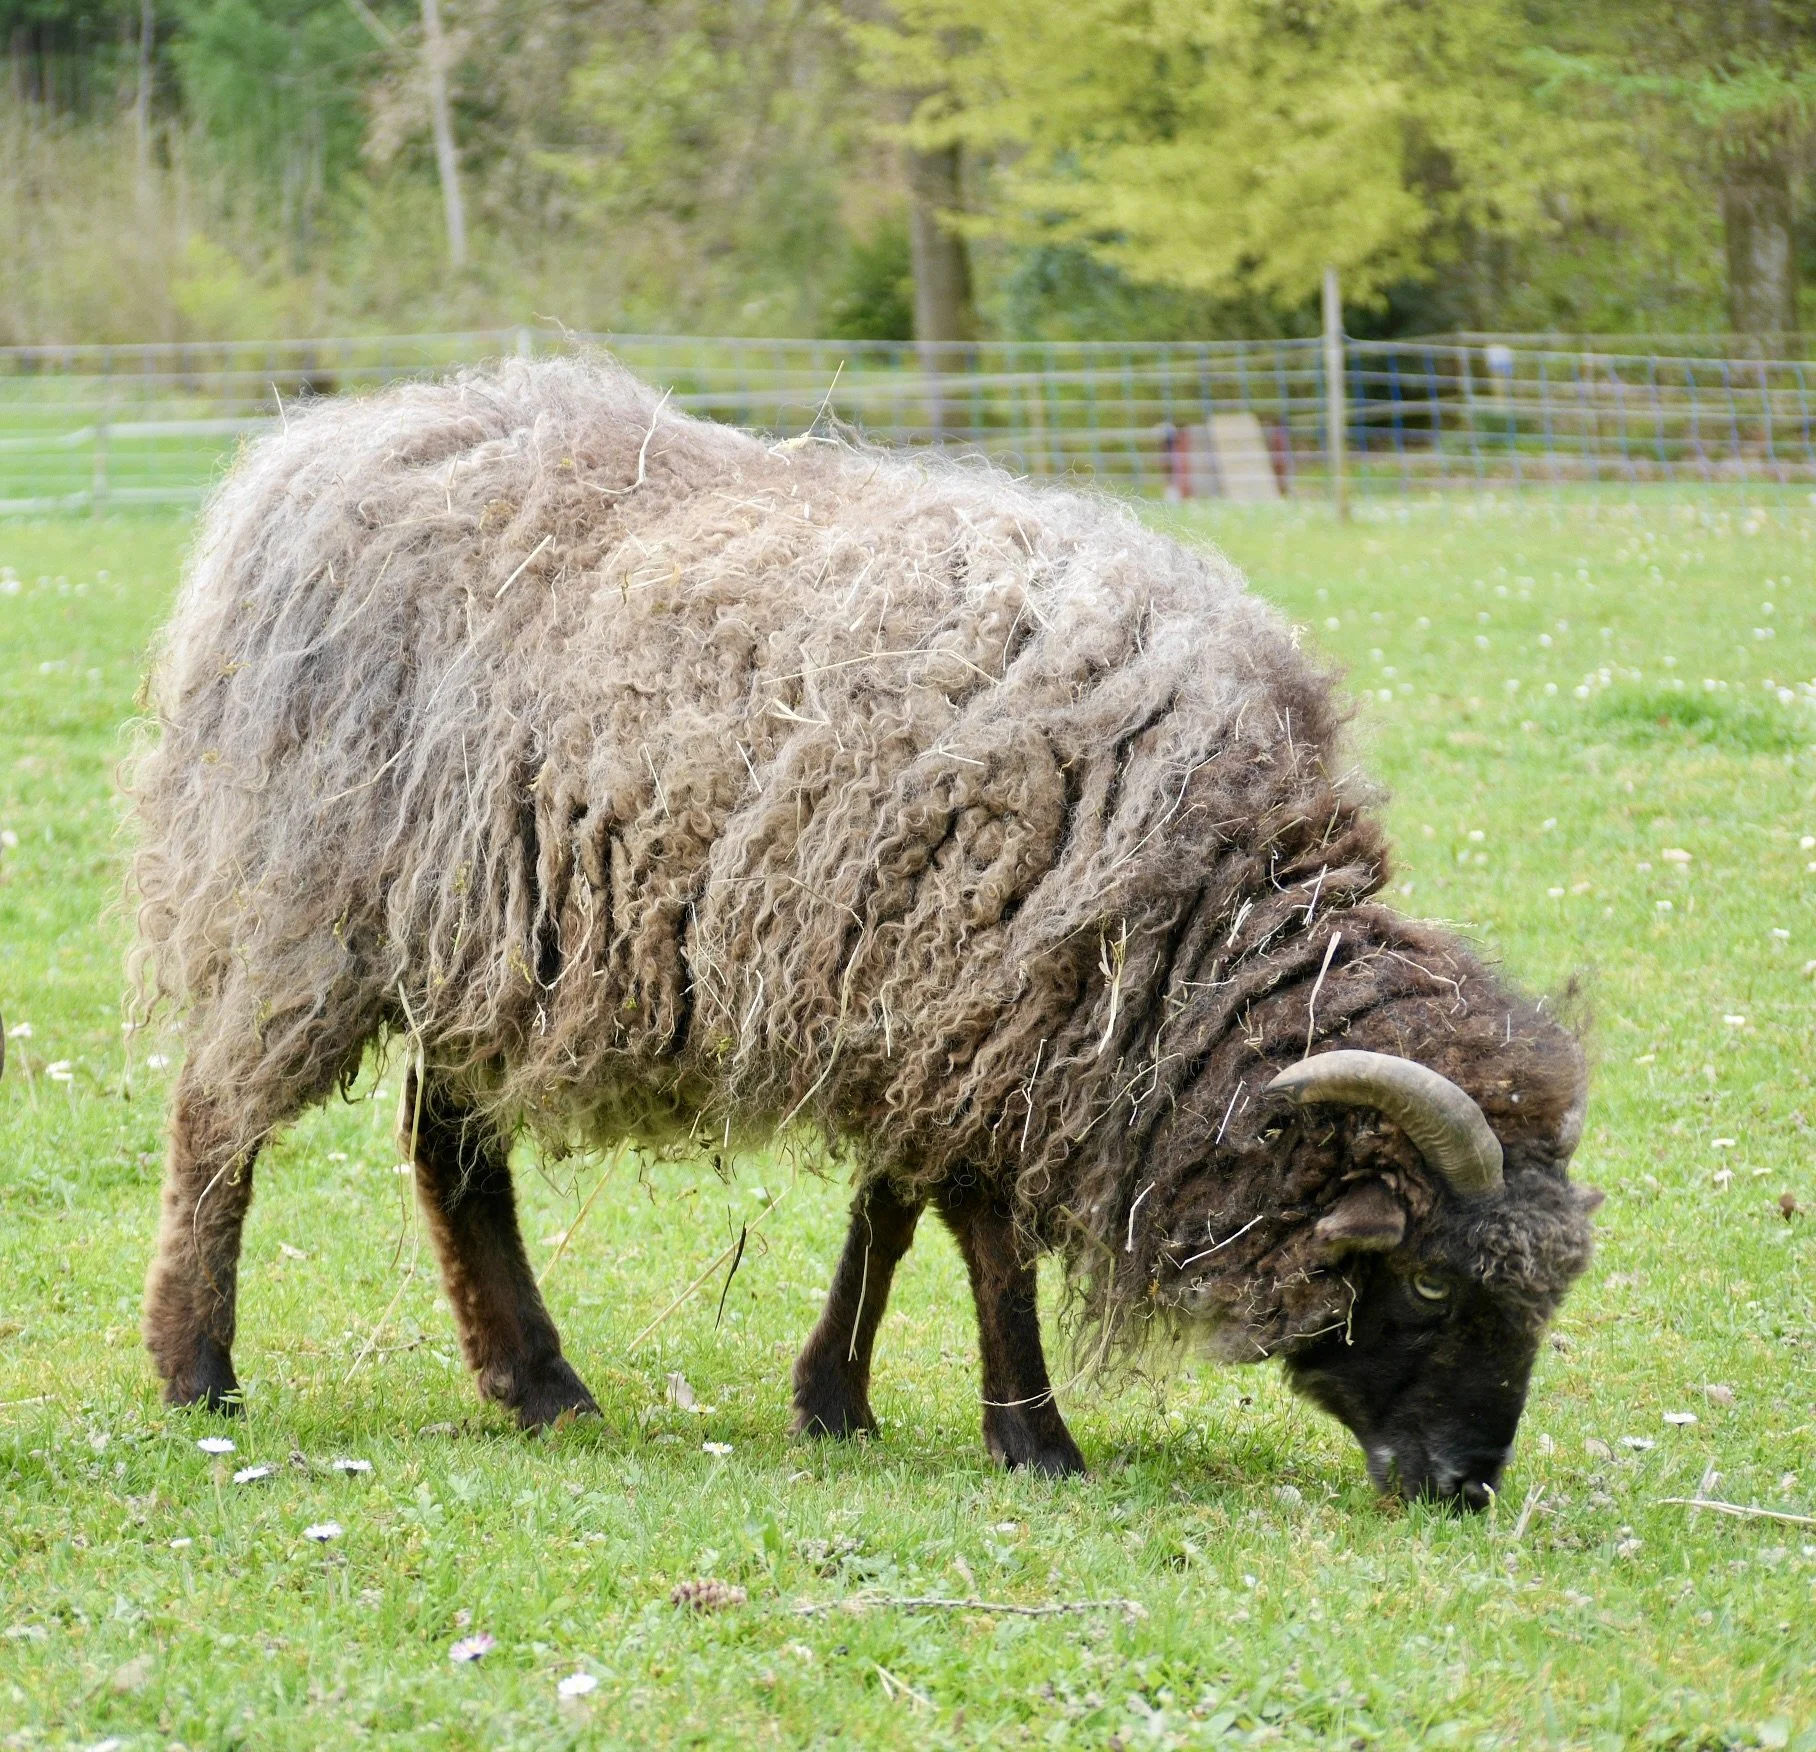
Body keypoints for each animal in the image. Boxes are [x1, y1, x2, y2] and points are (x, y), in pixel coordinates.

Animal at [130, 355, 1598, 1502]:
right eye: (1427, 1286)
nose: (1463, 1487)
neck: (1202, 926)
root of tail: (318, 448)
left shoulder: (927, 1014)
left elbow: (887, 1219)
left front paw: (833, 1399)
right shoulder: (987, 1003)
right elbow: (989, 1242)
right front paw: (1036, 1440)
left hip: (482, 939)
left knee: (450, 1156)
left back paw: (538, 1383)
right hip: (304, 901)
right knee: (217, 1123)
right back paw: (197, 1373)